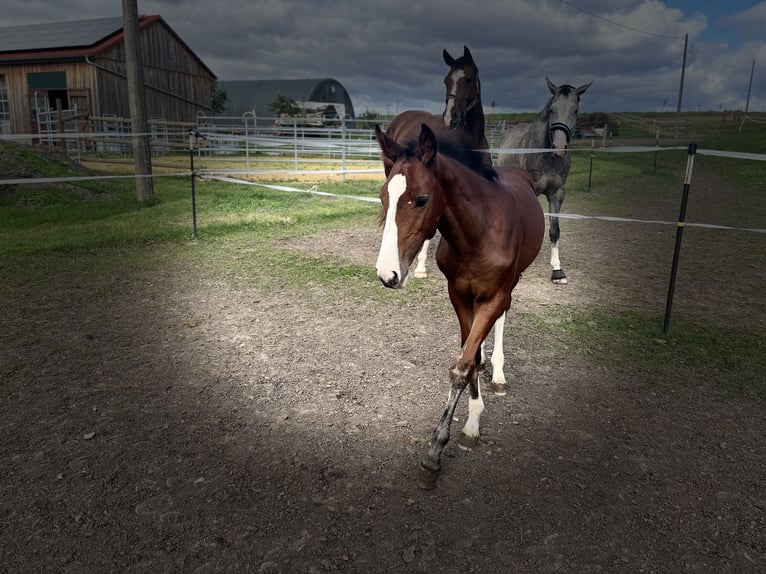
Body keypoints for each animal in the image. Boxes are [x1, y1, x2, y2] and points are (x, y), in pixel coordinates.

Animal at [374, 123, 544, 489]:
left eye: (422, 199)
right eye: (384, 197)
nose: (387, 274)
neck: (478, 234)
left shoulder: (492, 296)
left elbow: (463, 365)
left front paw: (436, 453)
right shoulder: (459, 295)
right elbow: (471, 356)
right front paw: (472, 419)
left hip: (512, 283)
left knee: (505, 315)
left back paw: (499, 374)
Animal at [498, 77, 592, 284]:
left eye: (575, 110)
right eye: (552, 109)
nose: (559, 147)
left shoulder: (557, 193)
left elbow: (554, 229)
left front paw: (557, 270)